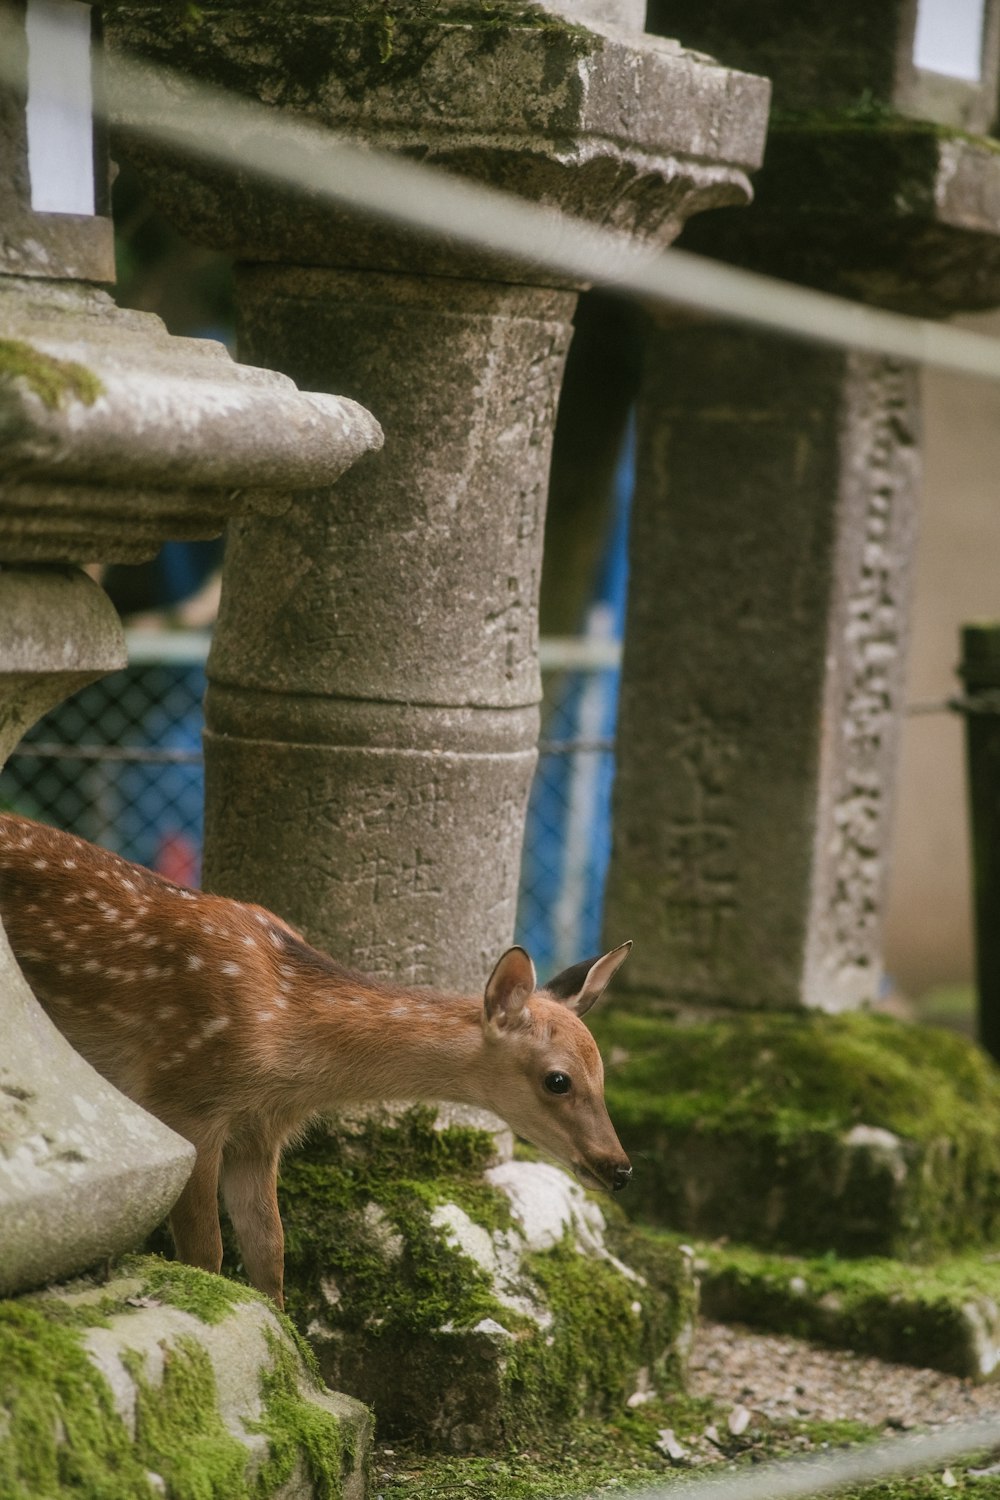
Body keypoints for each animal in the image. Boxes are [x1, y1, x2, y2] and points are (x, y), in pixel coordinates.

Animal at [0, 816, 632, 1308]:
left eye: (603, 1074)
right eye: (557, 1080)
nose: (620, 1167)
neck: (284, 1044)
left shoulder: (261, 1131)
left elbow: (270, 1252)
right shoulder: (181, 1096)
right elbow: (207, 1251)